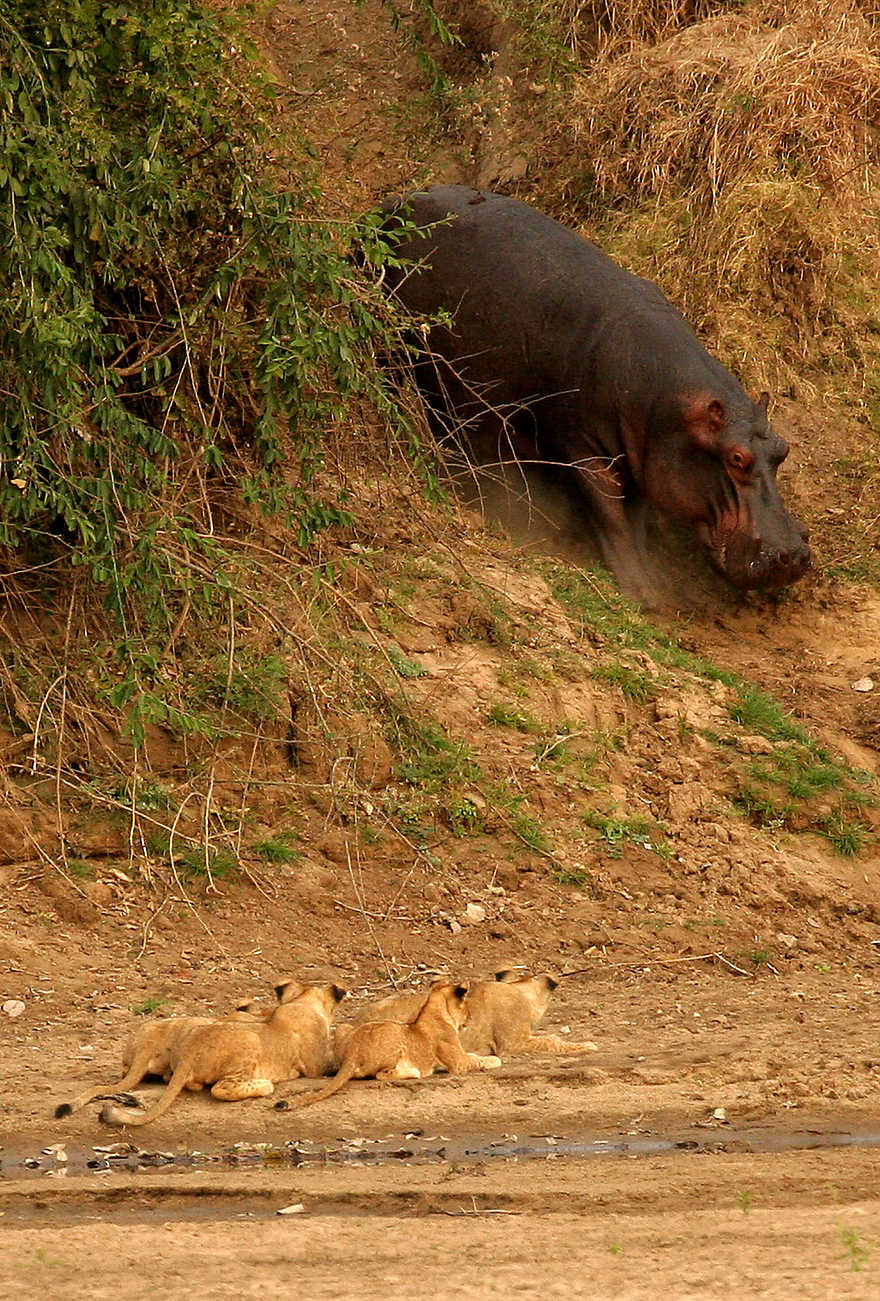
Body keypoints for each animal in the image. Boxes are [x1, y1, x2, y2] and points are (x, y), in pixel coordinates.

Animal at [97, 981, 344, 1127]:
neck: (303, 1002)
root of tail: (190, 1051)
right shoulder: (316, 1066)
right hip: (250, 1041)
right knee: (220, 1089)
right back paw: (264, 1085)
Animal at [287, 982, 501, 1111]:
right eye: (466, 1007)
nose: (470, 1018)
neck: (437, 1011)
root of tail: (352, 1052)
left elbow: (474, 1055)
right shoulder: (458, 1062)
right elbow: (479, 1059)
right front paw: (495, 1059)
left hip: (350, 1029)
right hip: (393, 1033)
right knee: (380, 1075)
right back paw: (413, 1071)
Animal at [379, 185, 811, 598]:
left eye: (783, 450)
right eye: (736, 458)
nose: (795, 554)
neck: (673, 406)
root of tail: (390, 202)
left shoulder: (643, 458)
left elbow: (635, 519)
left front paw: (652, 581)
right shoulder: (583, 448)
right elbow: (611, 516)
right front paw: (642, 593)